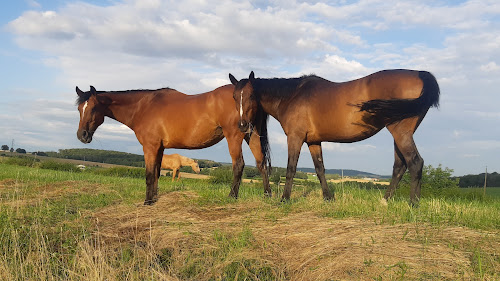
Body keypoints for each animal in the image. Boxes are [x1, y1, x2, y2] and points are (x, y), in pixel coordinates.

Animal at [74, 83, 272, 203]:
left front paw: (147, 202)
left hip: (234, 136)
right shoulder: (160, 148)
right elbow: (156, 173)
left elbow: (149, 174)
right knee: (261, 163)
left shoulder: (150, 146)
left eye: (93, 108)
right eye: (79, 108)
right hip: (252, 135)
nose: (82, 135)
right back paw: (267, 195)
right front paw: (154, 199)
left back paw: (232, 197)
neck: (143, 107)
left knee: (239, 165)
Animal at [229, 69, 440, 206]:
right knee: (400, 166)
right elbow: (320, 169)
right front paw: (328, 197)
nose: (242, 125)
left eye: (251, 95)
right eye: (234, 97)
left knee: (415, 162)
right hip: (400, 133)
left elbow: (291, 169)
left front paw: (284, 199)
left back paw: (413, 204)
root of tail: (420, 73)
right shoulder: (313, 141)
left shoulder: (295, 138)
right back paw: (385, 200)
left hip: (400, 131)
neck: (292, 95)